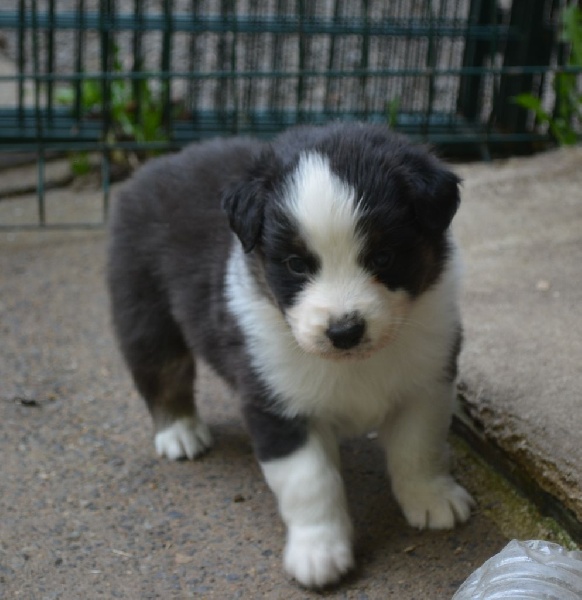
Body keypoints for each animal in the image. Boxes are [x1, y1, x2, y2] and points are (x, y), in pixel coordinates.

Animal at [107, 122, 474, 588]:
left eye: (383, 256)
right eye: (297, 265)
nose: (344, 331)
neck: (353, 365)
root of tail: (157, 164)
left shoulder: (427, 380)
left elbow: (418, 447)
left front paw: (431, 498)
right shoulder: (275, 401)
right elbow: (310, 481)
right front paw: (319, 554)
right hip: (144, 307)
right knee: (162, 373)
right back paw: (179, 432)